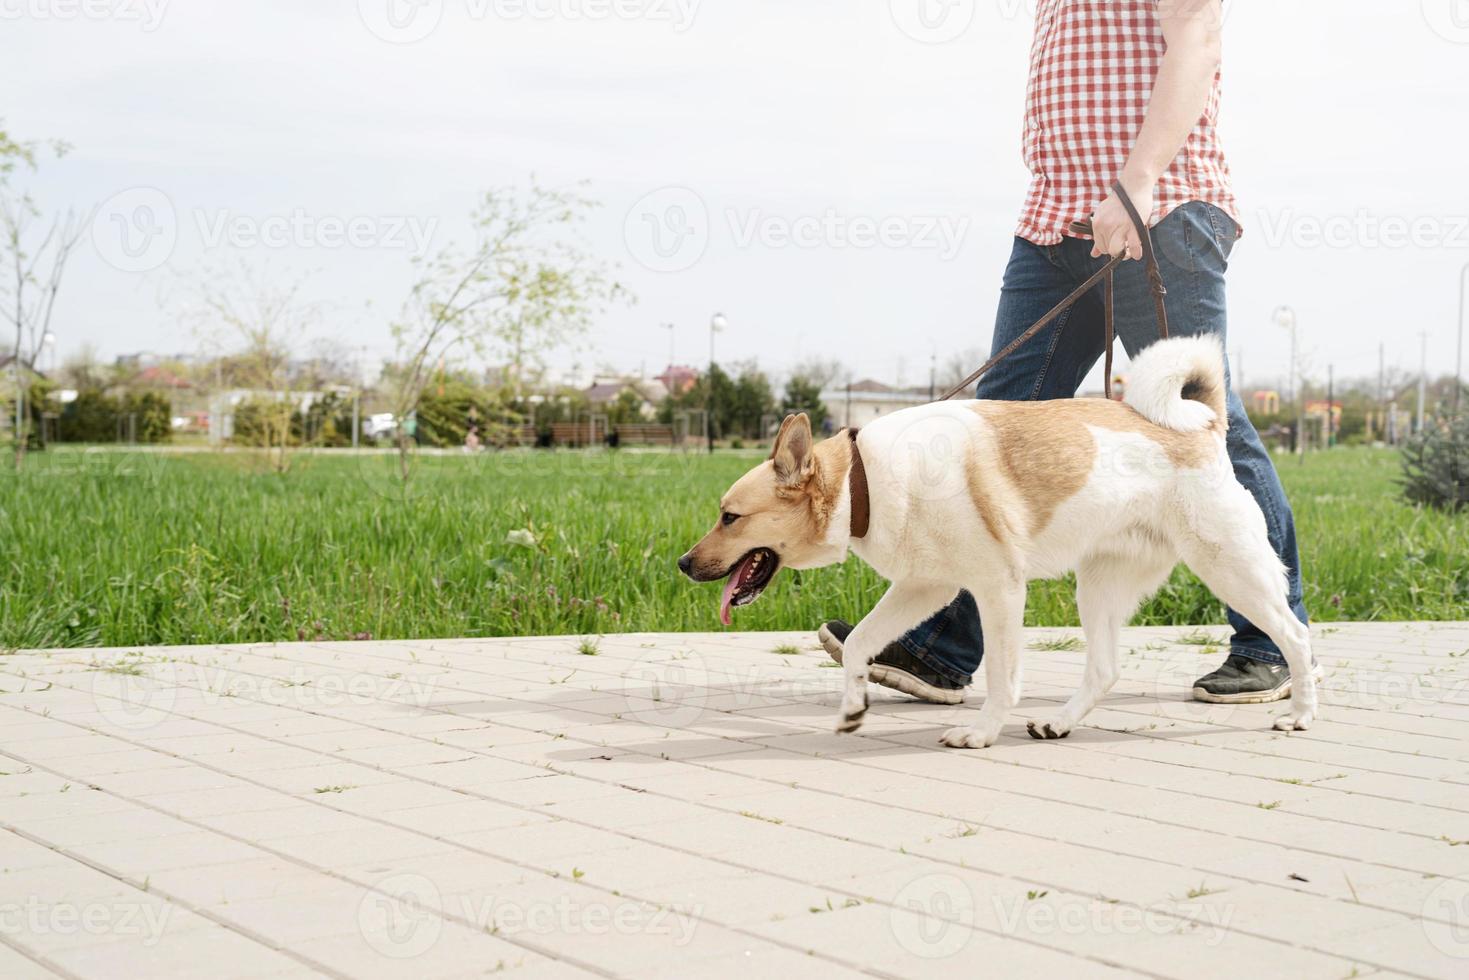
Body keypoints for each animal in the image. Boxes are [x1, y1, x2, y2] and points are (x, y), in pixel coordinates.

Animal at [678, 337, 1322, 752]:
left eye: (729, 517)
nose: (683, 564)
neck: (863, 482)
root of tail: (1203, 427)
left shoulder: (998, 589)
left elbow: (1002, 677)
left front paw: (982, 733)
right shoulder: (927, 586)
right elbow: (860, 643)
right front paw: (854, 706)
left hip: (1228, 567)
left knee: (1295, 637)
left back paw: (1300, 715)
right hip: (1099, 586)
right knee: (1105, 669)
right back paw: (1058, 724)